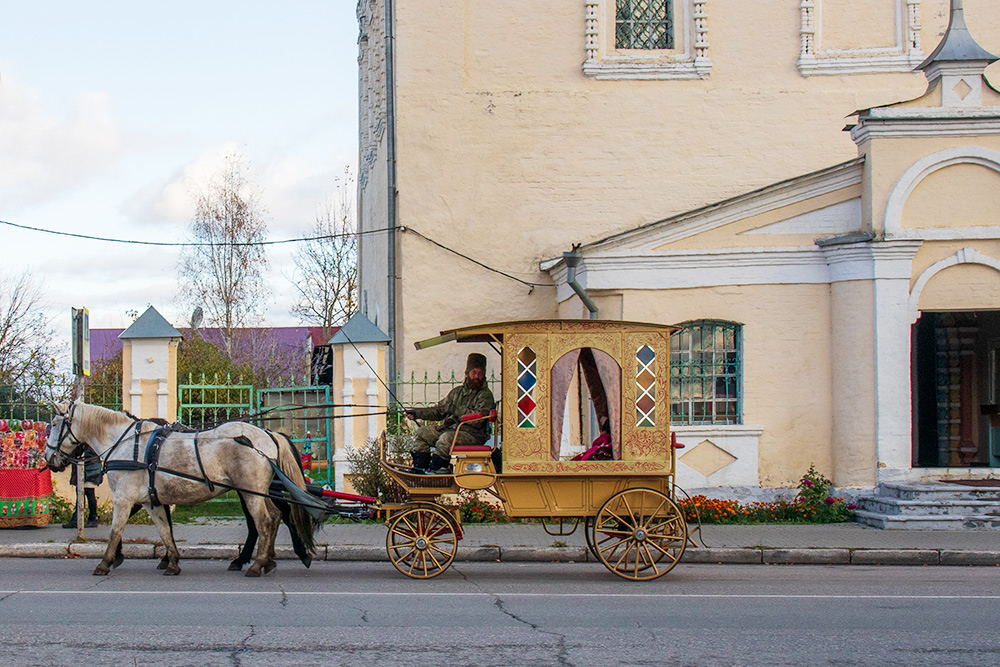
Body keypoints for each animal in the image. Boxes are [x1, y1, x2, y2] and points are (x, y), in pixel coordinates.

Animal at [43, 402, 314, 580]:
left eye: (55, 424)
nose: (48, 458)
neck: (125, 443)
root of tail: (268, 435)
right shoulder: (150, 500)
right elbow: (164, 530)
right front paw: (172, 561)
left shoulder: (124, 498)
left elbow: (116, 531)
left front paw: (105, 562)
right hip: (257, 492)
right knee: (275, 518)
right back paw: (268, 561)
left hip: (250, 492)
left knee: (264, 522)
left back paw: (257, 565)